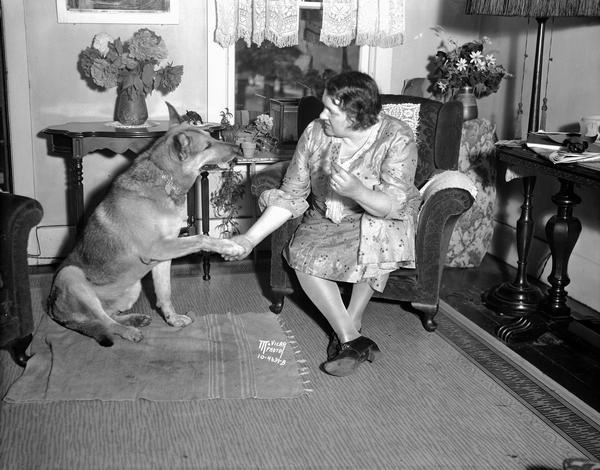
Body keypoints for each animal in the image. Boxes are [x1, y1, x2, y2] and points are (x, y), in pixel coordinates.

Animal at [47, 103, 244, 346]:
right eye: (207, 145)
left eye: (210, 136)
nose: (239, 148)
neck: (166, 177)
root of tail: (56, 313)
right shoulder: (157, 248)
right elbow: (202, 237)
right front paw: (231, 246)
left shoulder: (163, 257)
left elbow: (164, 293)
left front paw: (172, 320)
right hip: (71, 276)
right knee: (104, 321)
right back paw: (128, 331)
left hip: (133, 287)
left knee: (109, 315)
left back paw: (133, 319)